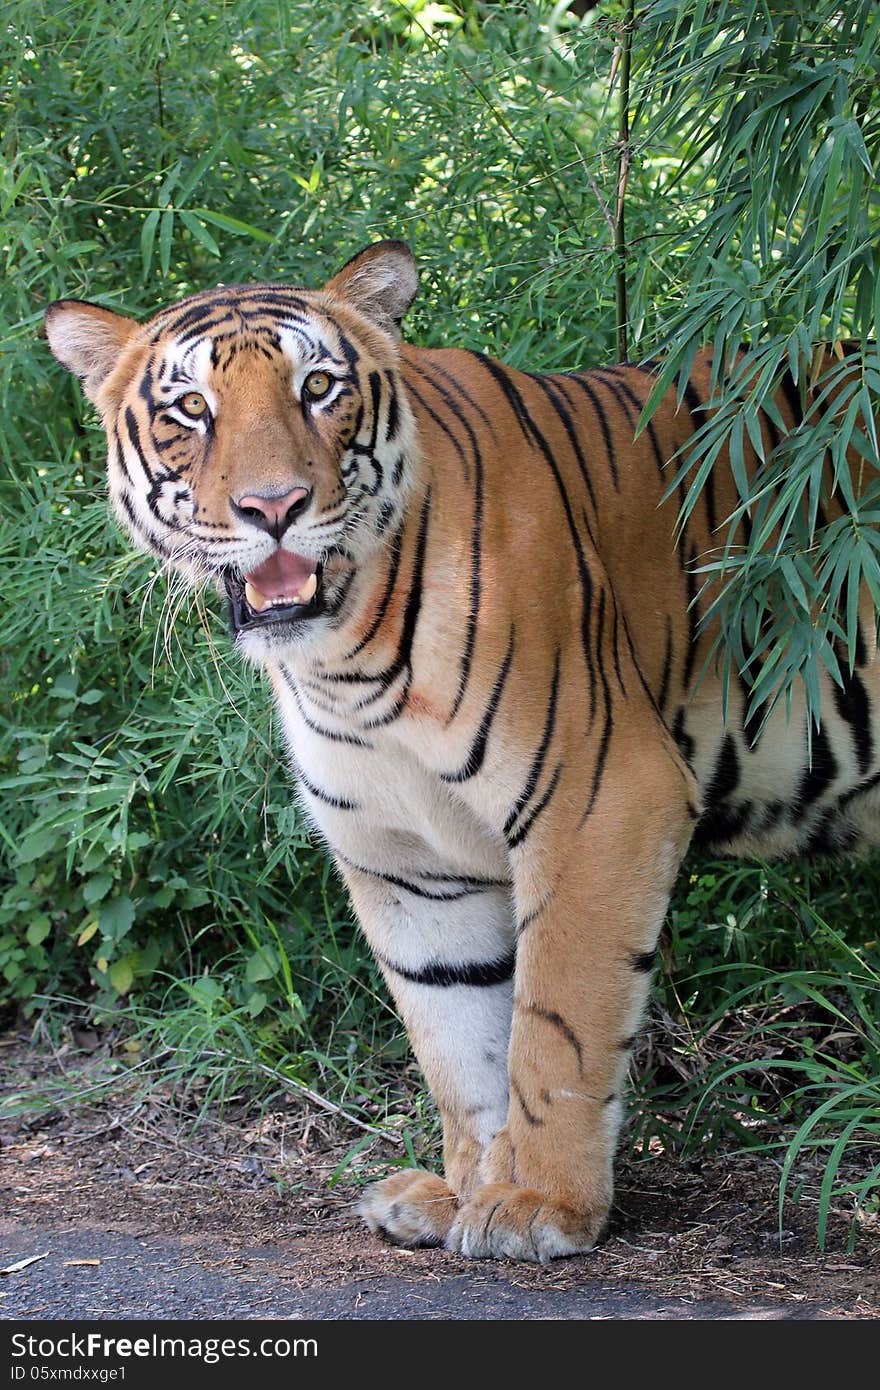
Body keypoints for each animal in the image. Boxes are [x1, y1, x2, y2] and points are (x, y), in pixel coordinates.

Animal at [44, 239, 878, 1262]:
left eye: (318, 387)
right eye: (191, 409)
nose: (273, 506)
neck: (341, 662)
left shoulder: (604, 797)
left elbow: (556, 1021)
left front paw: (541, 1205)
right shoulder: (403, 858)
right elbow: (453, 1031)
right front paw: (463, 1190)